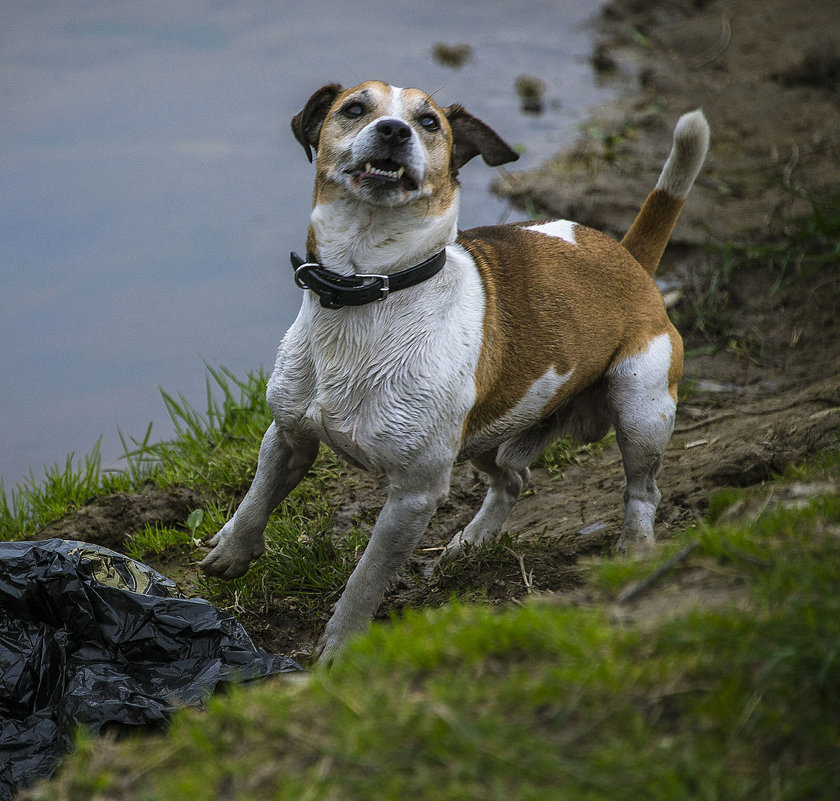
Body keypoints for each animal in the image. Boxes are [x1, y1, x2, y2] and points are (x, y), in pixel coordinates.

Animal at [202, 81, 708, 660]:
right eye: (355, 108)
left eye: (429, 123)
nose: (393, 130)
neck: (367, 290)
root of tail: (627, 257)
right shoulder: (287, 434)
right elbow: (256, 497)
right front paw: (232, 551)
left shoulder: (414, 495)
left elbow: (366, 579)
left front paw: (340, 646)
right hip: (484, 437)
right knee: (513, 477)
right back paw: (472, 543)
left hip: (640, 409)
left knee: (642, 491)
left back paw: (635, 548)